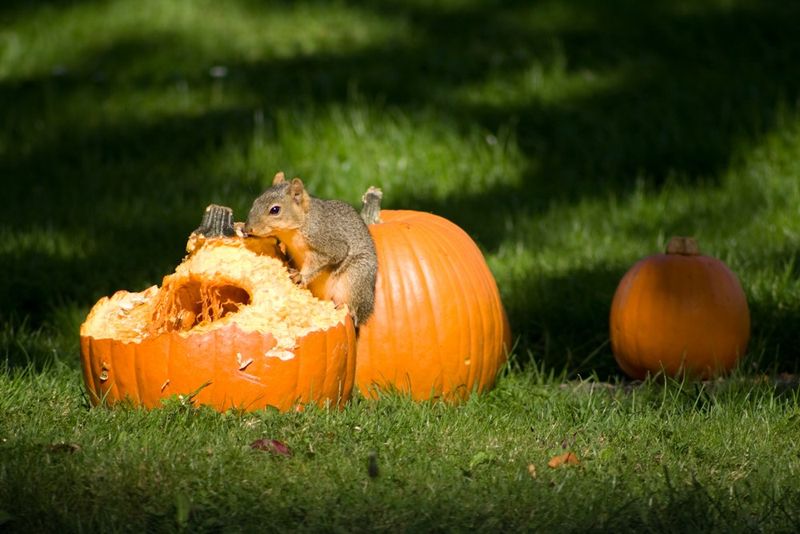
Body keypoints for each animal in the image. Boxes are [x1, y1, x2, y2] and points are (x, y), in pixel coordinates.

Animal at [244, 172, 378, 327]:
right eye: (255, 202)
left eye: (275, 210)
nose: (248, 228)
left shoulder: (327, 241)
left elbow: (324, 259)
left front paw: (301, 275)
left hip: (356, 278)